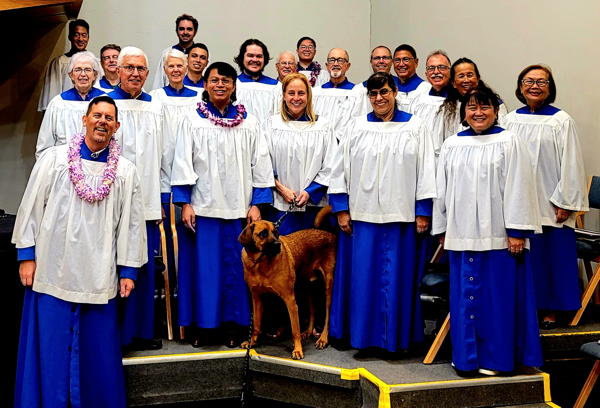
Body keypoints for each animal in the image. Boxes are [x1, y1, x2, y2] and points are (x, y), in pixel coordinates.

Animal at [238, 206, 332, 358]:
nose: (278, 245)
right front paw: (252, 342)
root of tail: (327, 233)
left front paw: (298, 349)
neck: (261, 263)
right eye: (263, 234)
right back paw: (308, 331)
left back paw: (323, 339)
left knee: (328, 315)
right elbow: (256, 324)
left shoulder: (290, 300)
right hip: (307, 287)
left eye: (276, 233)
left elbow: (294, 329)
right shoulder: (257, 298)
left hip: (328, 287)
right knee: (312, 310)